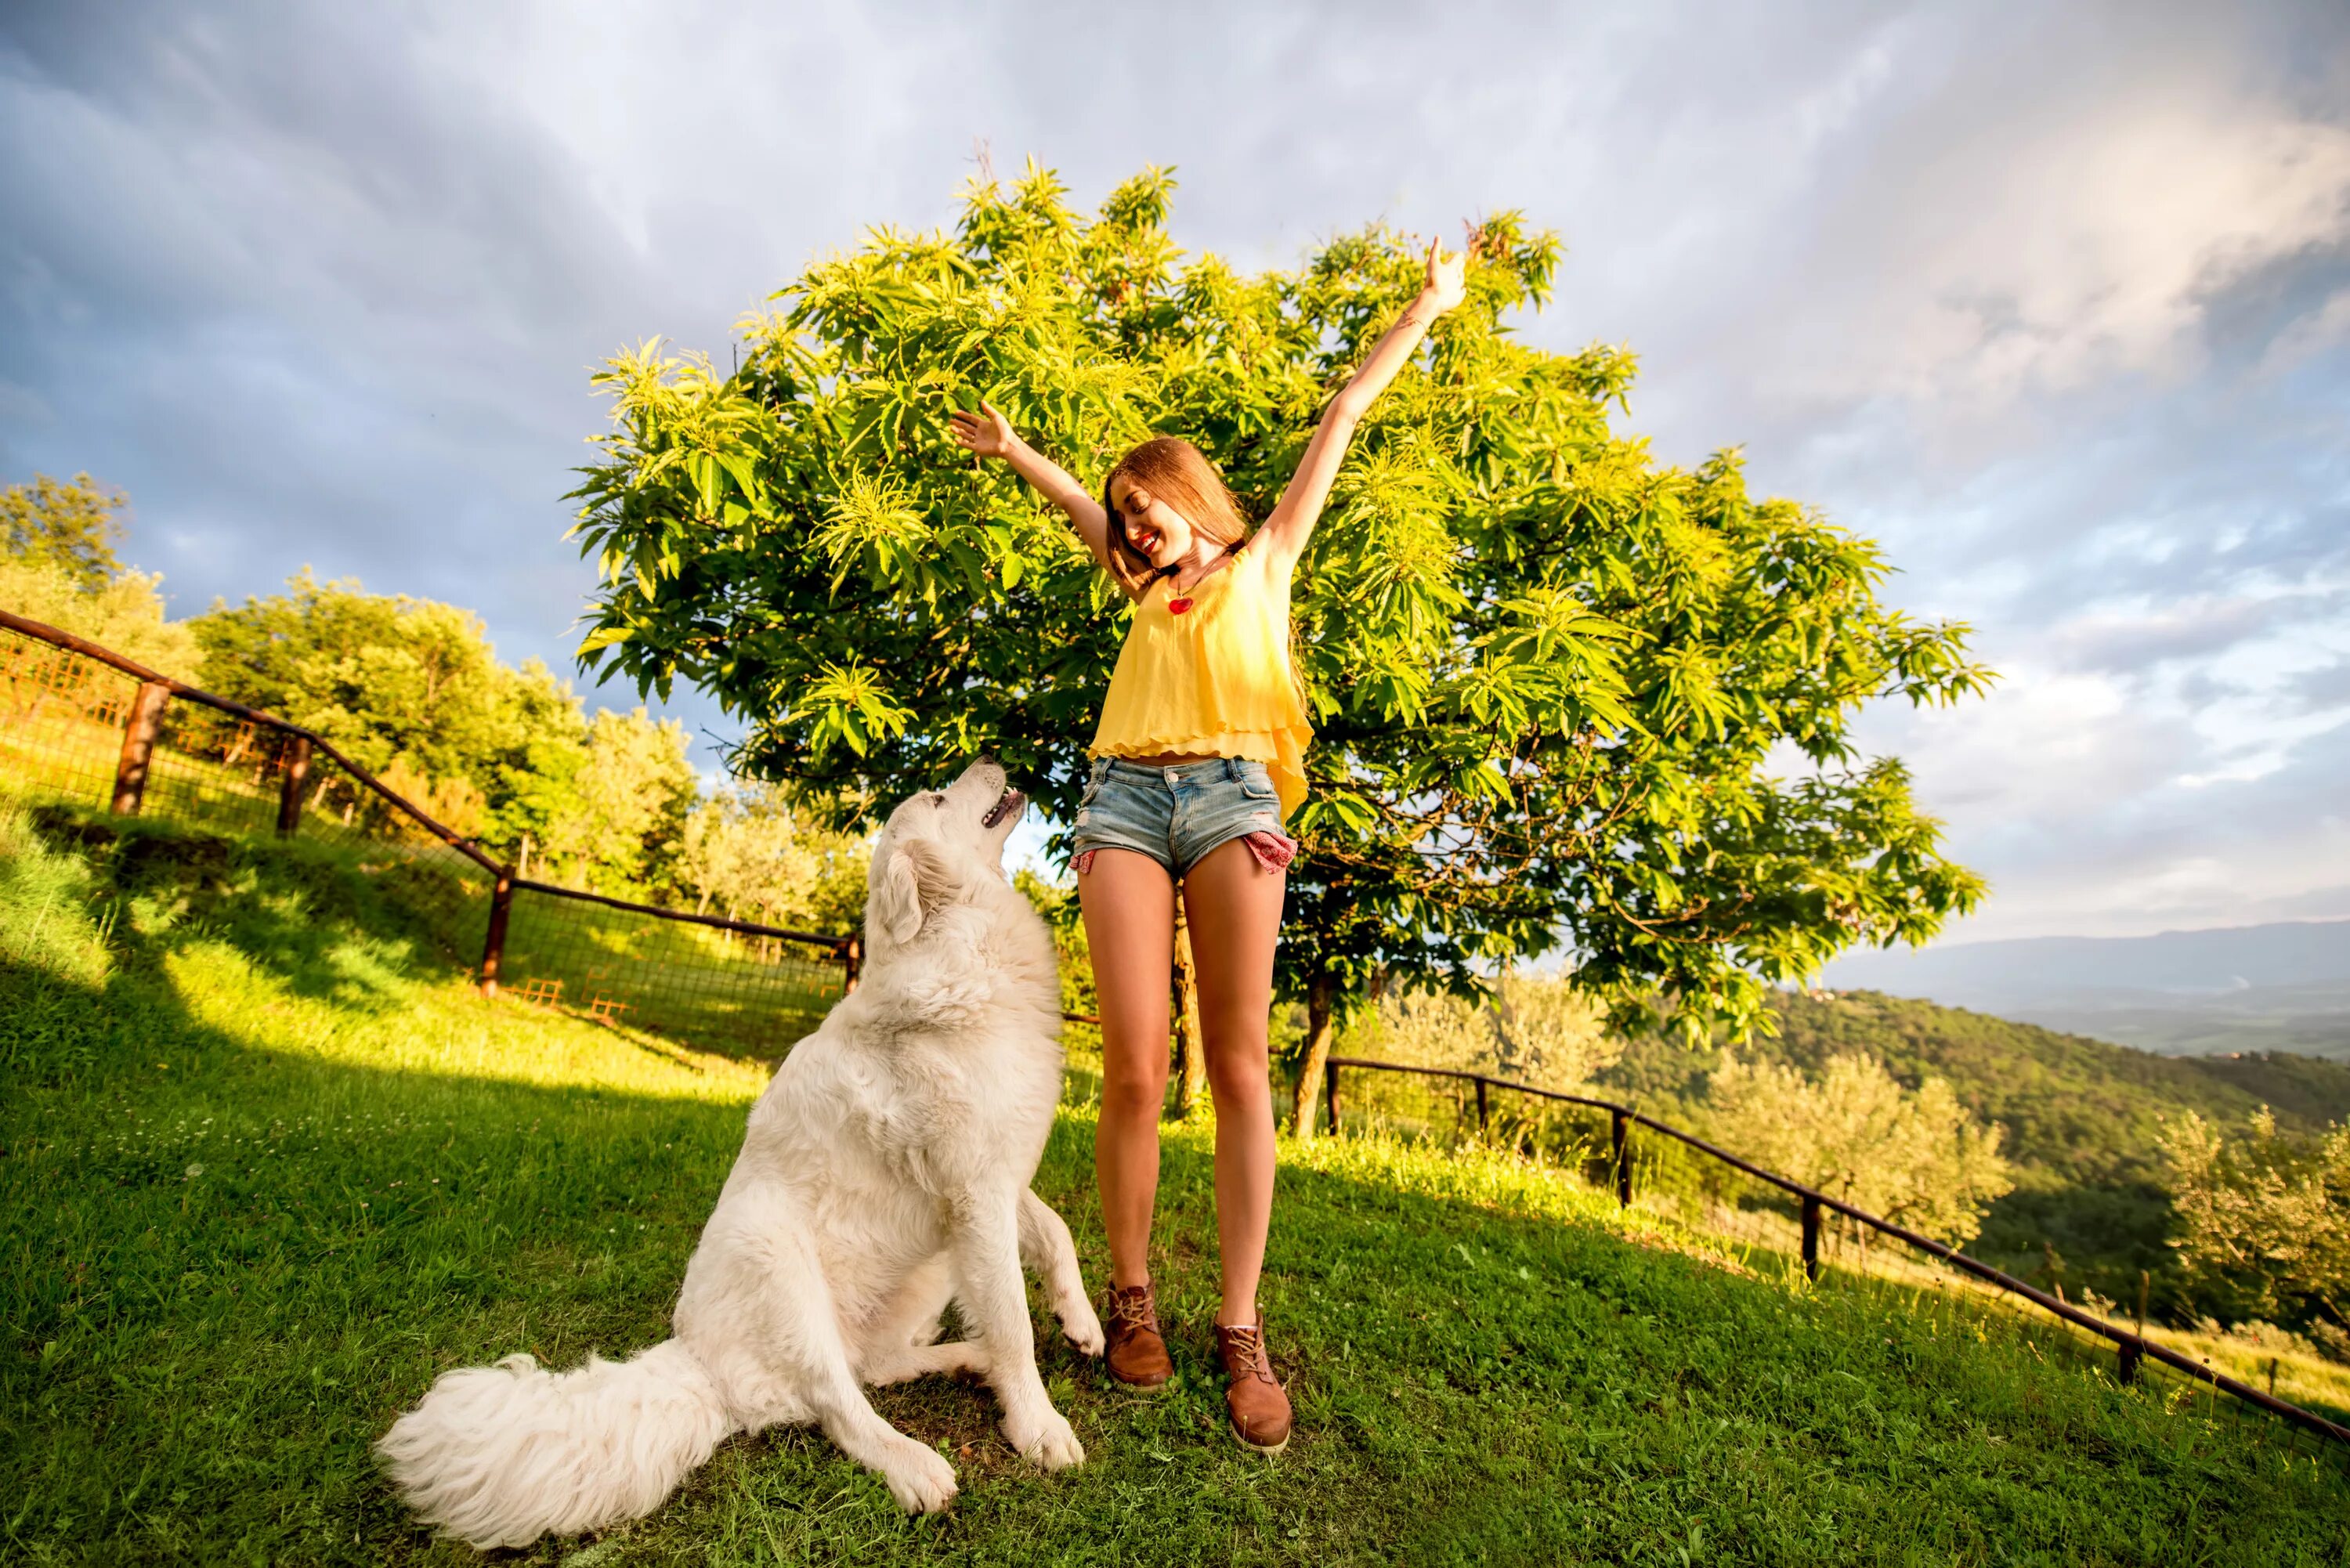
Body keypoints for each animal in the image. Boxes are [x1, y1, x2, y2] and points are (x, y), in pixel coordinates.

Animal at [378, 761, 1109, 1541]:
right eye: (941, 798)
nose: (992, 764)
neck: (959, 941)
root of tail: (697, 1365)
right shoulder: (974, 1193)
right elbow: (1013, 1322)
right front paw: (1039, 1427)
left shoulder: (993, 1183)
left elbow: (1056, 1233)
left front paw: (1082, 1323)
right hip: (775, 1257)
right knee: (838, 1405)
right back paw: (916, 1465)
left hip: (926, 1272)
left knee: (874, 1369)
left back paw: (967, 1362)